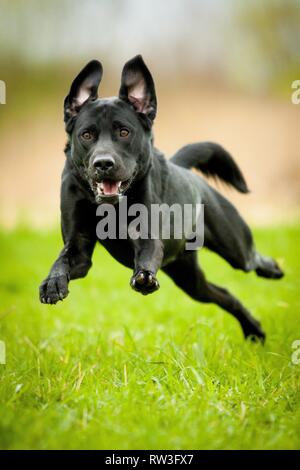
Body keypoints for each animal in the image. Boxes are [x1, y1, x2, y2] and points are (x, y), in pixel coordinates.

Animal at [39, 56, 284, 342]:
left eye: (124, 132)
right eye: (86, 135)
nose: (103, 163)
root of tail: (183, 168)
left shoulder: (147, 236)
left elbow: (146, 256)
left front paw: (144, 277)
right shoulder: (78, 248)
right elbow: (62, 259)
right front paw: (53, 283)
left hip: (234, 248)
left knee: (251, 259)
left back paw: (273, 270)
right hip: (189, 279)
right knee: (224, 294)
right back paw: (253, 330)